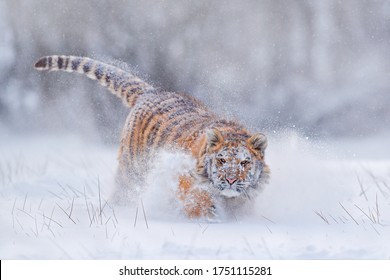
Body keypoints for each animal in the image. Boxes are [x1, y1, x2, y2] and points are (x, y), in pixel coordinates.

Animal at [35, 55, 270, 220]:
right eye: (221, 160)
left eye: (244, 162)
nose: (231, 180)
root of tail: (151, 91)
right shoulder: (184, 181)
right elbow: (198, 202)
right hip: (131, 172)